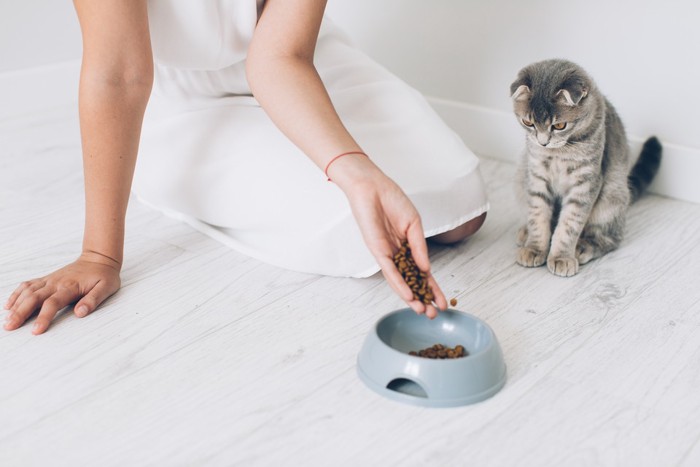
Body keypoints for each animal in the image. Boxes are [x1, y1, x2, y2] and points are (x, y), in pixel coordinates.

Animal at [508, 59, 660, 276]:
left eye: (560, 125)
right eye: (528, 122)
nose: (543, 142)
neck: (558, 154)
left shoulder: (586, 182)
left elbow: (569, 224)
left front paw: (561, 257)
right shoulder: (536, 176)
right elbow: (537, 215)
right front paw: (535, 248)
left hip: (612, 197)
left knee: (611, 238)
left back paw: (583, 247)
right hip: (521, 174)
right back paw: (525, 232)